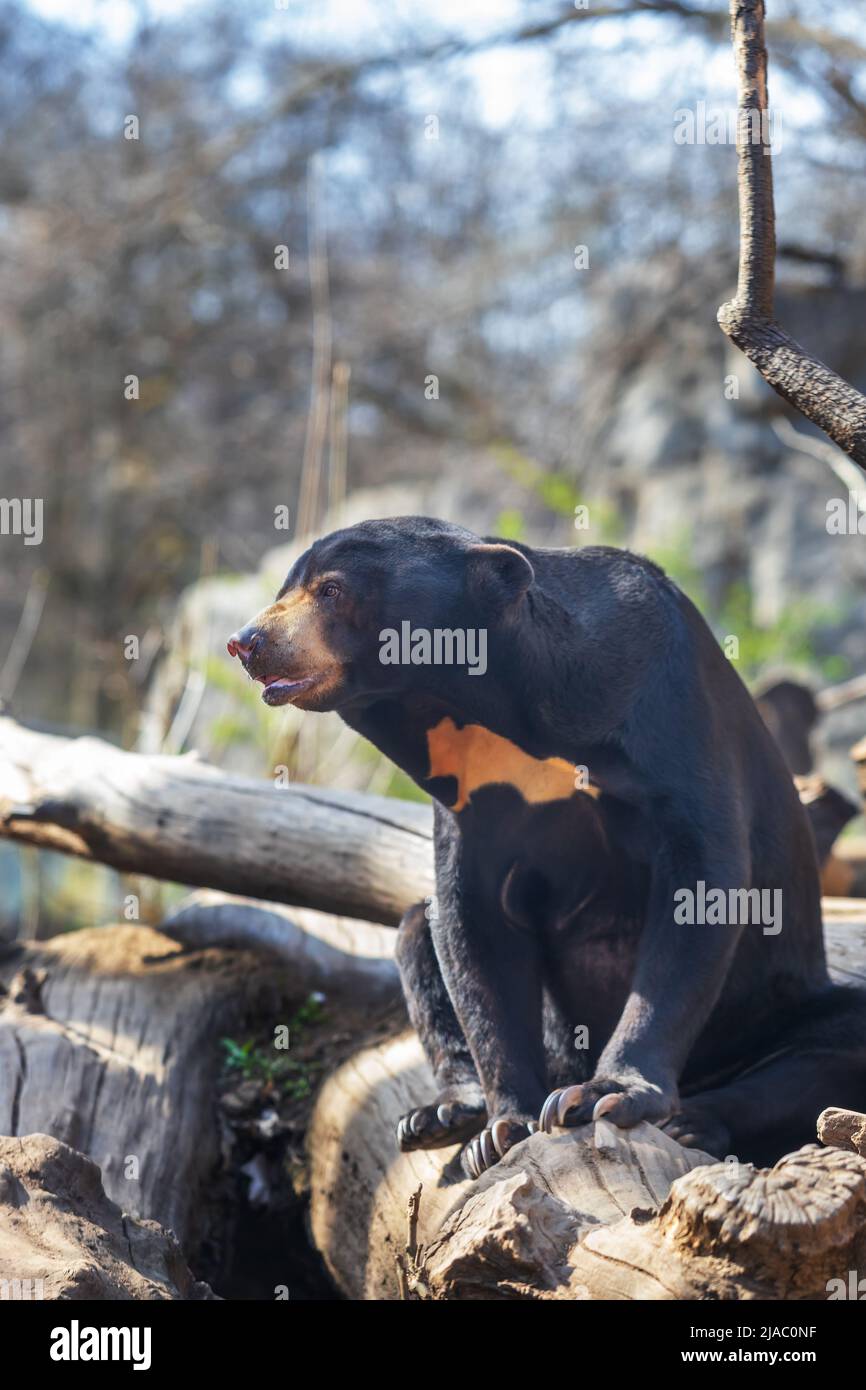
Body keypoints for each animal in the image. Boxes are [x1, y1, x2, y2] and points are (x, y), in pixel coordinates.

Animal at [229, 519, 866, 1173]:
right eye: (286, 588)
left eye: (331, 590)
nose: (246, 642)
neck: (472, 708)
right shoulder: (468, 799)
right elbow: (471, 931)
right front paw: (502, 1128)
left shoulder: (669, 708)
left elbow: (703, 880)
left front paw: (606, 1095)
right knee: (415, 929)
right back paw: (443, 1114)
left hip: (774, 1003)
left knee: (832, 1046)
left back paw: (691, 1120)